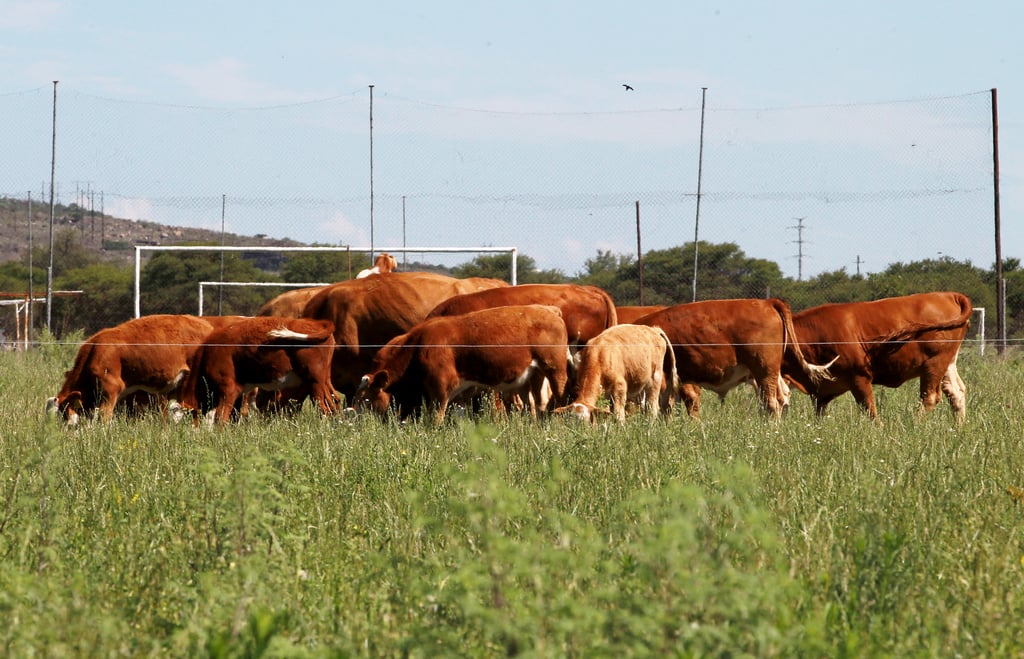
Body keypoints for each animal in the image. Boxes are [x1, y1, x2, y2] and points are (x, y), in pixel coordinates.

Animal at [177, 317, 335, 425]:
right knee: (332, 405)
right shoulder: (239, 392)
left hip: (314, 383)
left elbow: (221, 418)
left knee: (324, 410)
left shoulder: (228, 389)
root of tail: (318, 323)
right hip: (321, 383)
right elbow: (234, 417)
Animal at [356, 306, 573, 425]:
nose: (355, 422)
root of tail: (551, 311)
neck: (417, 346)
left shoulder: (441, 387)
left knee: (559, 394)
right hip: (532, 375)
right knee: (536, 405)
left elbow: (435, 418)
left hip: (554, 368)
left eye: (365, 399)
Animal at [778, 290, 970, 421]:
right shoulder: (822, 391)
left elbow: (870, 410)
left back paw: (913, 425)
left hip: (934, 363)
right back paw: (958, 428)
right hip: (947, 363)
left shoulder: (859, 377)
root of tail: (949, 295)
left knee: (930, 396)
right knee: (956, 392)